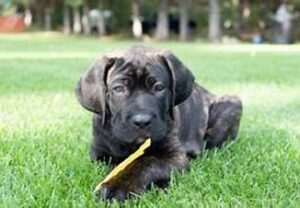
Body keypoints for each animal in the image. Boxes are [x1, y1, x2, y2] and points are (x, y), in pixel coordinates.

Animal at [76, 46, 243, 202]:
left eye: (159, 87)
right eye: (119, 89)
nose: (142, 121)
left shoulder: (175, 156)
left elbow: (147, 162)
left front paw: (119, 185)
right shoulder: (99, 154)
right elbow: (116, 163)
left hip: (231, 104)